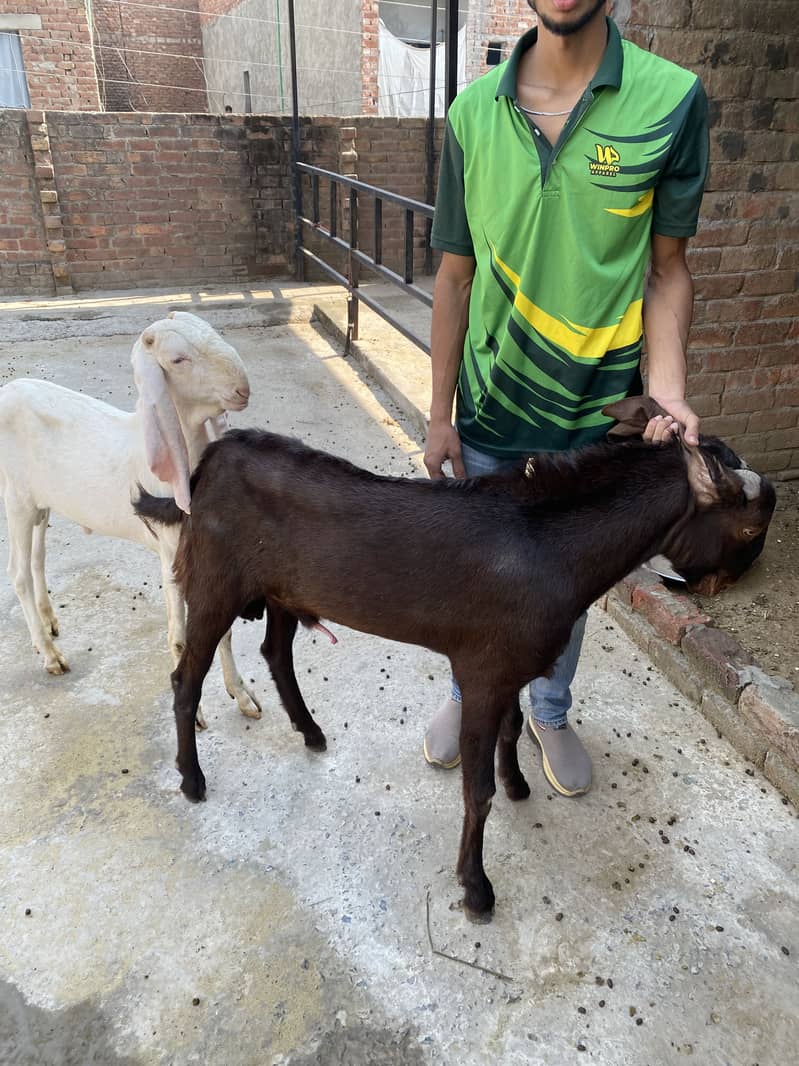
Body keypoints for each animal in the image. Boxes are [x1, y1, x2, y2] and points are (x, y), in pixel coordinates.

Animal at [0, 311, 261, 724]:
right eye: (177, 360)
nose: (241, 388)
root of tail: (7, 390)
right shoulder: (172, 551)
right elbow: (182, 636)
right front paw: (194, 712)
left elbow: (222, 630)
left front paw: (242, 694)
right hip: (16, 497)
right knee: (18, 572)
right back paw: (50, 655)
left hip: (42, 502)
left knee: (38, 558)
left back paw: (49, 621)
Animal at [135, 396, 775, 917]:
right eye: (748, 530)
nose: (727, 585)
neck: (551, 549)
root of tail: (210, 461)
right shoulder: (483, 670)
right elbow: (476, 790)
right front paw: (476, 889)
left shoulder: (510, 664)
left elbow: (513, 728)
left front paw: (518, 783)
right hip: (216, 582)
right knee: (186, 674)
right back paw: (192, 778)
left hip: (283, 591)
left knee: (275, 651)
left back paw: (310, 732)